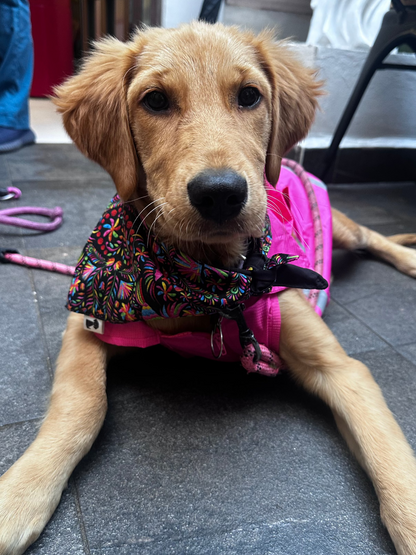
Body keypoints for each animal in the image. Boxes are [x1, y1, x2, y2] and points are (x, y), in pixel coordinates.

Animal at [0, 21, 416, 555]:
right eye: (155, 100)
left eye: (249, 96)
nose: (220, 193)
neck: (208, 280)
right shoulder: (87, 322)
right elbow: (83, 403)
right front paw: (19, 494)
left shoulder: (344, 370)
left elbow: (387, 453)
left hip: (343, 227)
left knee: (375, 238)